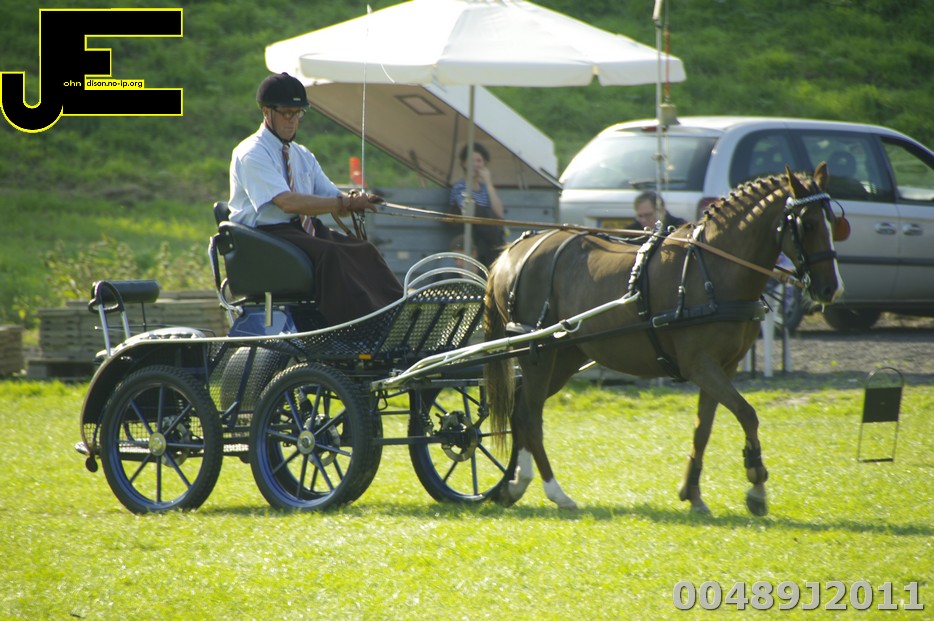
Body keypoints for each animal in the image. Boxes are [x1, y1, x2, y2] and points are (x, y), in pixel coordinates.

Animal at [483, 163, 847, 515]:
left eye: (833, 222)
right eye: (808, 224)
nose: (831, 288)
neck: (712, 269)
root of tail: (512, 252)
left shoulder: (724, 367)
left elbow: (704, 428)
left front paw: (693, 493)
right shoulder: (700, 365)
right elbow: (746, 413)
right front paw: (756, 483)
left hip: (564, 355)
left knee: (520, 409)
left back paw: (515, 483)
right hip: (537, 353)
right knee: (531, 415)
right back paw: (554, 491)